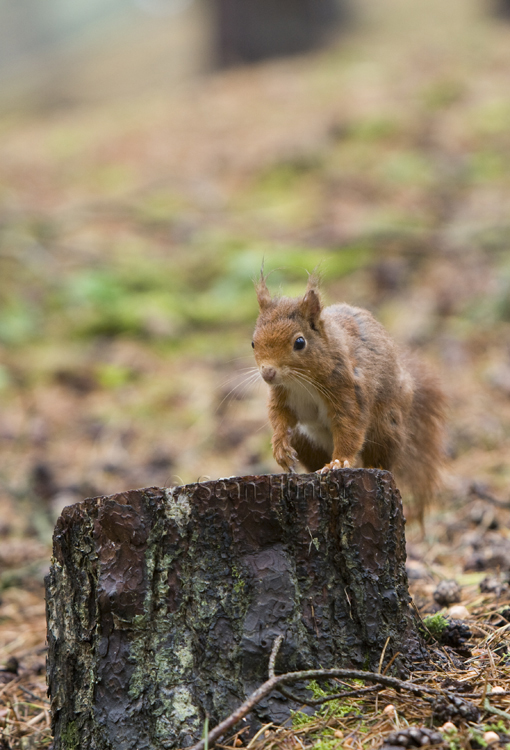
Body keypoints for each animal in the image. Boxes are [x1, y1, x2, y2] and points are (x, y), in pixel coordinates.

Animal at [251, 271, 446, 525]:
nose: (268, 373)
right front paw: (280, 448)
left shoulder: (348, 390)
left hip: (386, 426)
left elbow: (349, 427)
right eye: (253, 342)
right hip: (305, 440)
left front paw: (339, 462)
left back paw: (370, 464)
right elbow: (280, 420)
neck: (301, 382)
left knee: (383, 459)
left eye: (299, 342)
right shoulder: (283, 397)